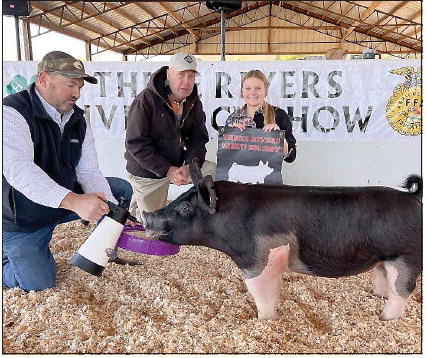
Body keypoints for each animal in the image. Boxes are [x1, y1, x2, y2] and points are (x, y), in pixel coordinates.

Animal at [142, 160, 422, 322]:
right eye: (181, 199)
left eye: (186, 208)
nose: (147, 216)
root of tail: (413, 198)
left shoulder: (262, 258)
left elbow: (261, 292)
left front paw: (265, 321)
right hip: (385, 258)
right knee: (386, 280)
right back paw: (378, 298)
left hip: (407, 256)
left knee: (403, 291)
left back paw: (385, 318)